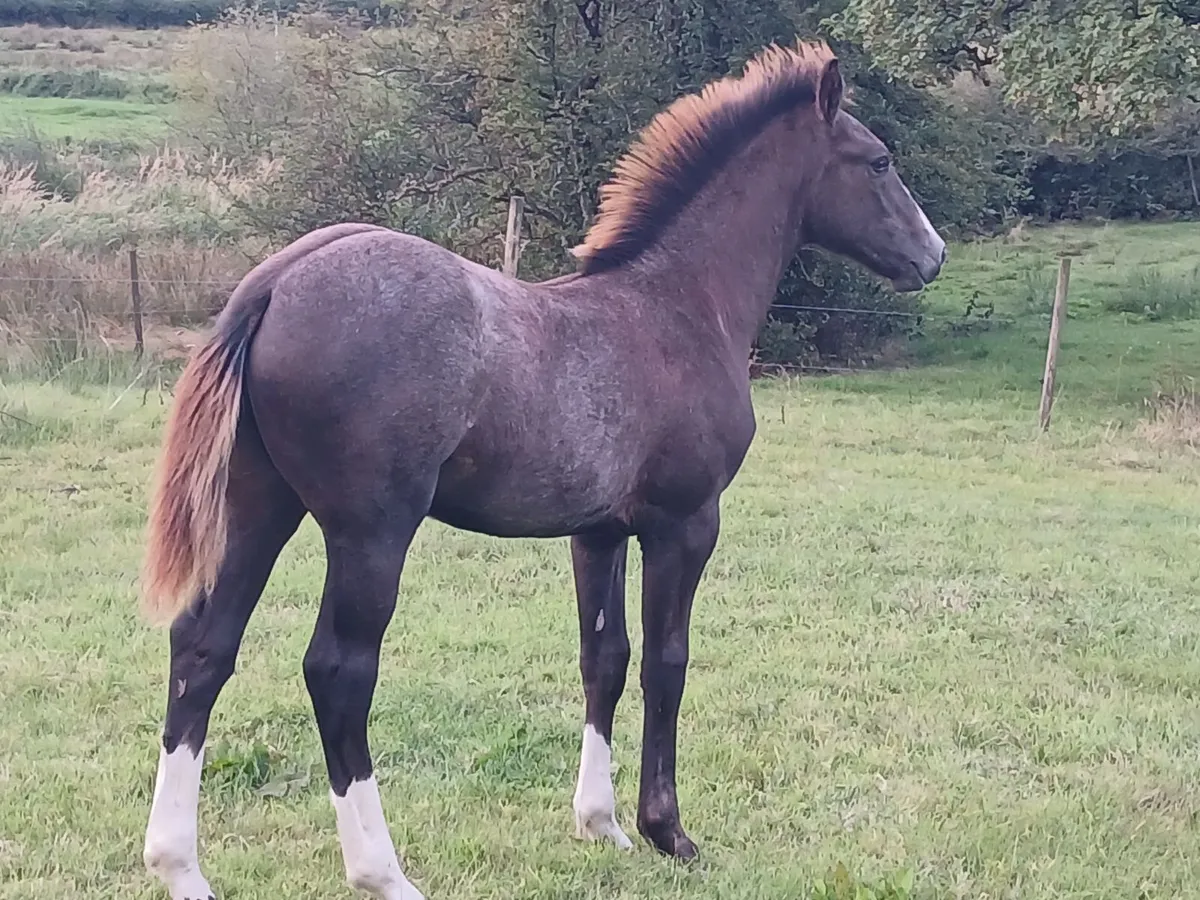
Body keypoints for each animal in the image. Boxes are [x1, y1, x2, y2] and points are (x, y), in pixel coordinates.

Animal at [138, 39, 946, 900]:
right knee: (338, 671)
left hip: (258, 505)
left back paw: (180, 866)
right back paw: (382, 871)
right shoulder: (685, 523)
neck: (678, 306)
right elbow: (666, 662)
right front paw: (668, 831)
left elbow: (604, 659)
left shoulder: (597, 531)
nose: (932, 255)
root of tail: (275, 282)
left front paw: (602, 824)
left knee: (202, 648)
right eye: (879, 161)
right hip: (370, 531)